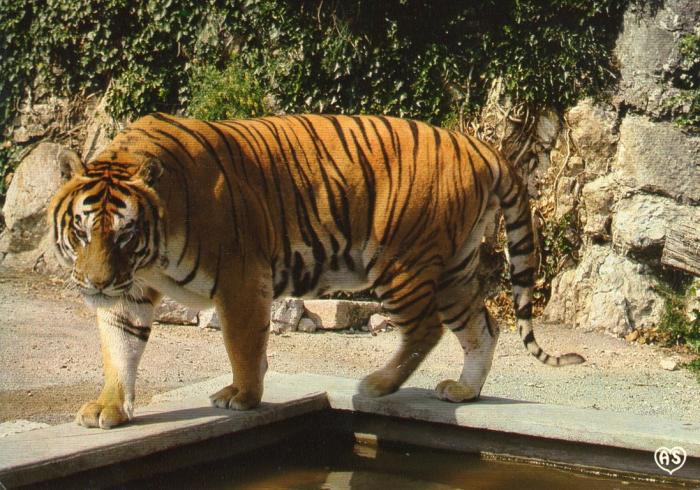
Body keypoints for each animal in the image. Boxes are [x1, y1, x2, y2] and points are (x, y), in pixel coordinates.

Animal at [49, 113, 584, 429]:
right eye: (81, 230)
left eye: (125, 234)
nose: (95, 284)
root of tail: (478, 146)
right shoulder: (129, 292)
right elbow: (120, 350)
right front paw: (109, 408)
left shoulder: (241, 279)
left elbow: (242, 345)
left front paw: (243, 396)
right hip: (454, 267)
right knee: (483, 327)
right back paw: (463, 391)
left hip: (400, 263)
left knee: (425, 329)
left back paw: (378, 385)